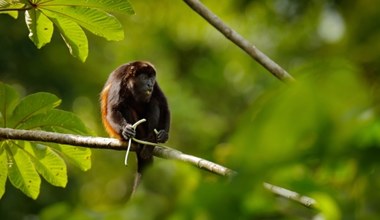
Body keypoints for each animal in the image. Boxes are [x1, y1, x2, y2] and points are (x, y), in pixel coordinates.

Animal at [101, 60, 171, 191]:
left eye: (152, 78)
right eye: (144, 78)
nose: (149, 84)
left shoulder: (156, 86)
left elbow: (164, 107)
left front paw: (164, 134)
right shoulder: (119, 82)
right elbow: (113, 109)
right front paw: (125, 130)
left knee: (154, 101)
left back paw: (150, 141)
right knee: (125, 106)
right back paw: (136, 139)